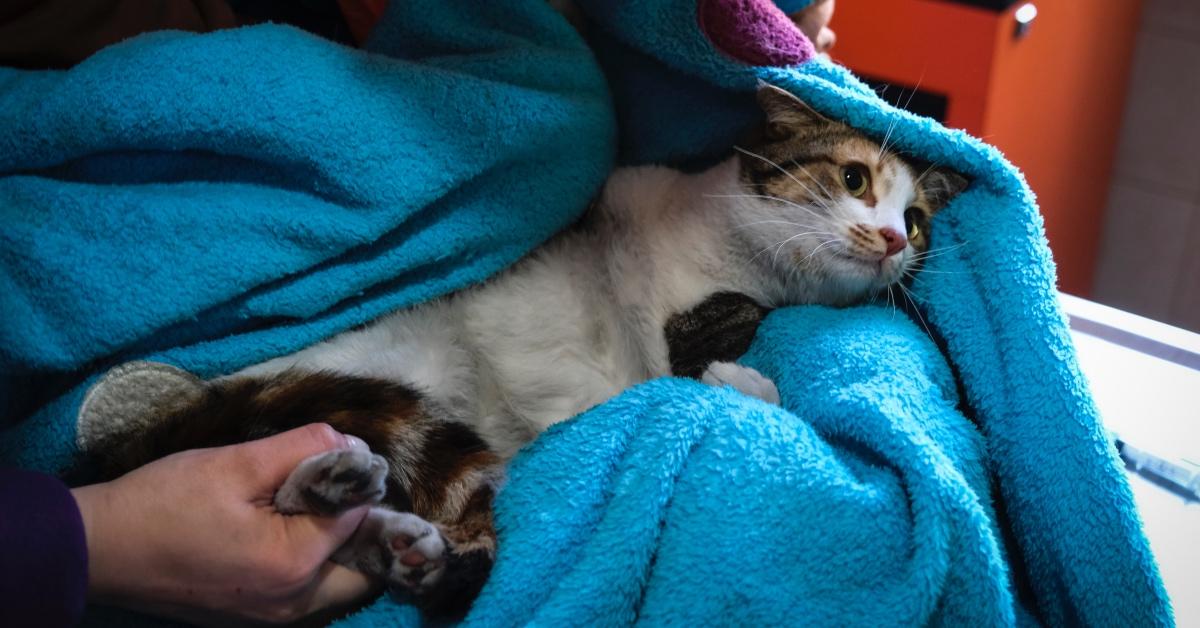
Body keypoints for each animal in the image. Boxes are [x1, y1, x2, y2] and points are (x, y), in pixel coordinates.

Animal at [88, 84, 964, 619]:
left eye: (917, 218)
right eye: (853, 178)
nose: (893, 240)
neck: (754, 268)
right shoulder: (662, 271)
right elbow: (706, 360)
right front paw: (739, 372)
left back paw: (386, 528)